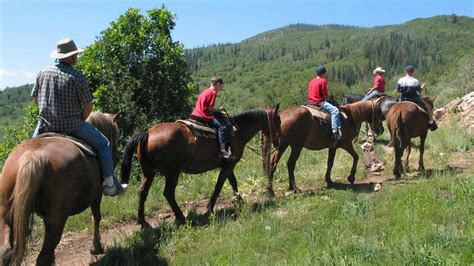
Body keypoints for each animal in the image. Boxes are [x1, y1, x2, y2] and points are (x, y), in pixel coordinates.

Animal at [0, 112, 119, 266]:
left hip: (7, 215)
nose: (116, 157)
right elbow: (96, 217)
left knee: (5, 251)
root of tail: (33, 155)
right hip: (57, 220)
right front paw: (96, 247)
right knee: (42, 257)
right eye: (116, 133)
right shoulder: (97, 194)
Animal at [120, 107, 280, 228]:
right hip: (172, 172)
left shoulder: (228, 164)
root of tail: (147, 133)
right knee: (168, 193)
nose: (278, 141)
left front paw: (240, 200)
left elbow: (233, 182)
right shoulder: (228, 165)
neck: (237, 131)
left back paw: (142, 222)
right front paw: (209, 210)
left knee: (142, 192)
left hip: (149, 172)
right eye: (278, 120)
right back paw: (181, 218)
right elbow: (219, 185)